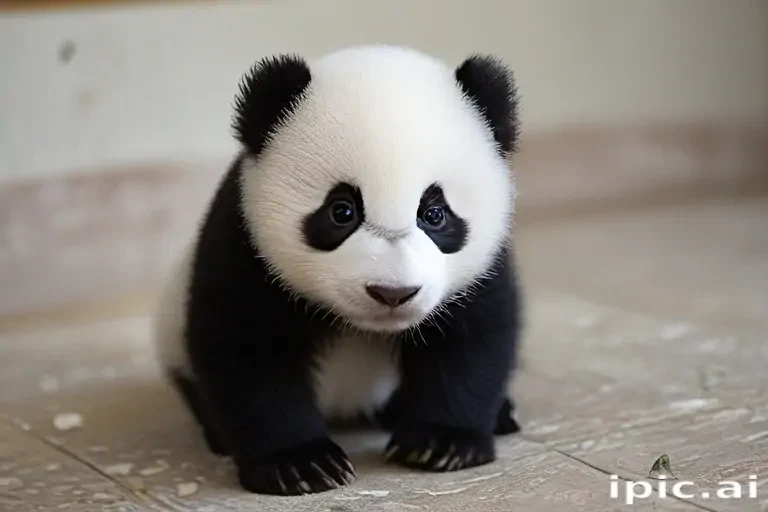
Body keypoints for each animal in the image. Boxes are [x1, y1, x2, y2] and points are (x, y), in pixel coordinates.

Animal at [153, 44, 523, 496]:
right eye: (341, 211)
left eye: (434, 214)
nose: (392, 293)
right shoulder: (244, 243)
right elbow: (246, 349)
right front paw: (300, 464)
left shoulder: (481, 270)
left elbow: (472, 341)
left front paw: (442, 443)